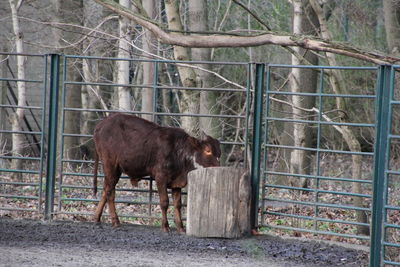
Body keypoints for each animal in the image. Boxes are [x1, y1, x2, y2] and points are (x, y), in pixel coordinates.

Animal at [92, 114, 220, 233]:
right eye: (207, 150)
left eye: (219, 153)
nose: (218, 167)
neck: (178, 151)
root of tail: (100, 125)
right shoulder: (160, 178)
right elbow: (164, 202)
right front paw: (165, 226)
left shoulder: (176, 182)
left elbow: (177, 204)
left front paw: (181, 228)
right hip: (110, 166)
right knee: (109, 193)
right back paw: (115, 222)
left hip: (115, 170)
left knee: (106, 190)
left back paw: (97, 219)